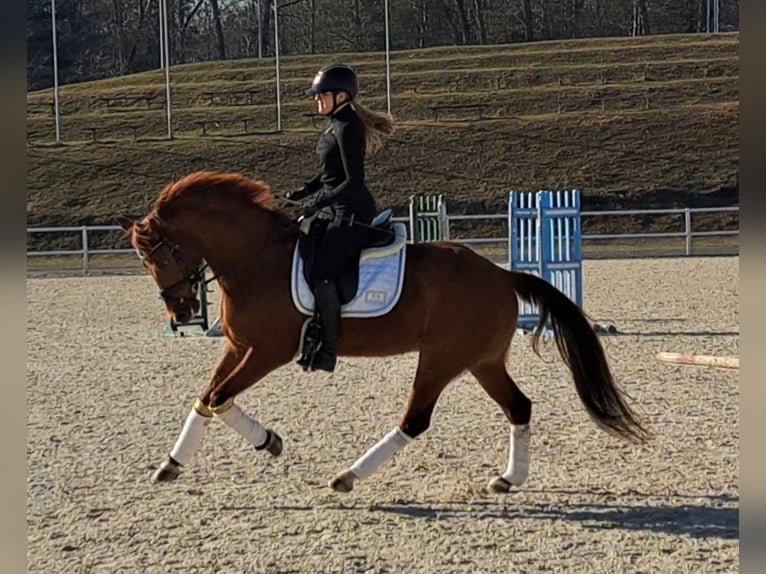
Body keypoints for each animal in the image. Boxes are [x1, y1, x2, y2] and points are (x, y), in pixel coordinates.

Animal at [121, 170, 656, 496]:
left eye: (161, 255)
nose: (182, 308)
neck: (257, 256)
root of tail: (502, 276)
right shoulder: (239, 346)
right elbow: (210, 397)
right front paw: (178, 462)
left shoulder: (268, 350)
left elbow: (219, 397)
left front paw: (265, 442)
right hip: (481, 361)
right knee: (519, 407)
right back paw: (507, 479)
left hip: (441, 359)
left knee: (416, 419)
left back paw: (348, 476)